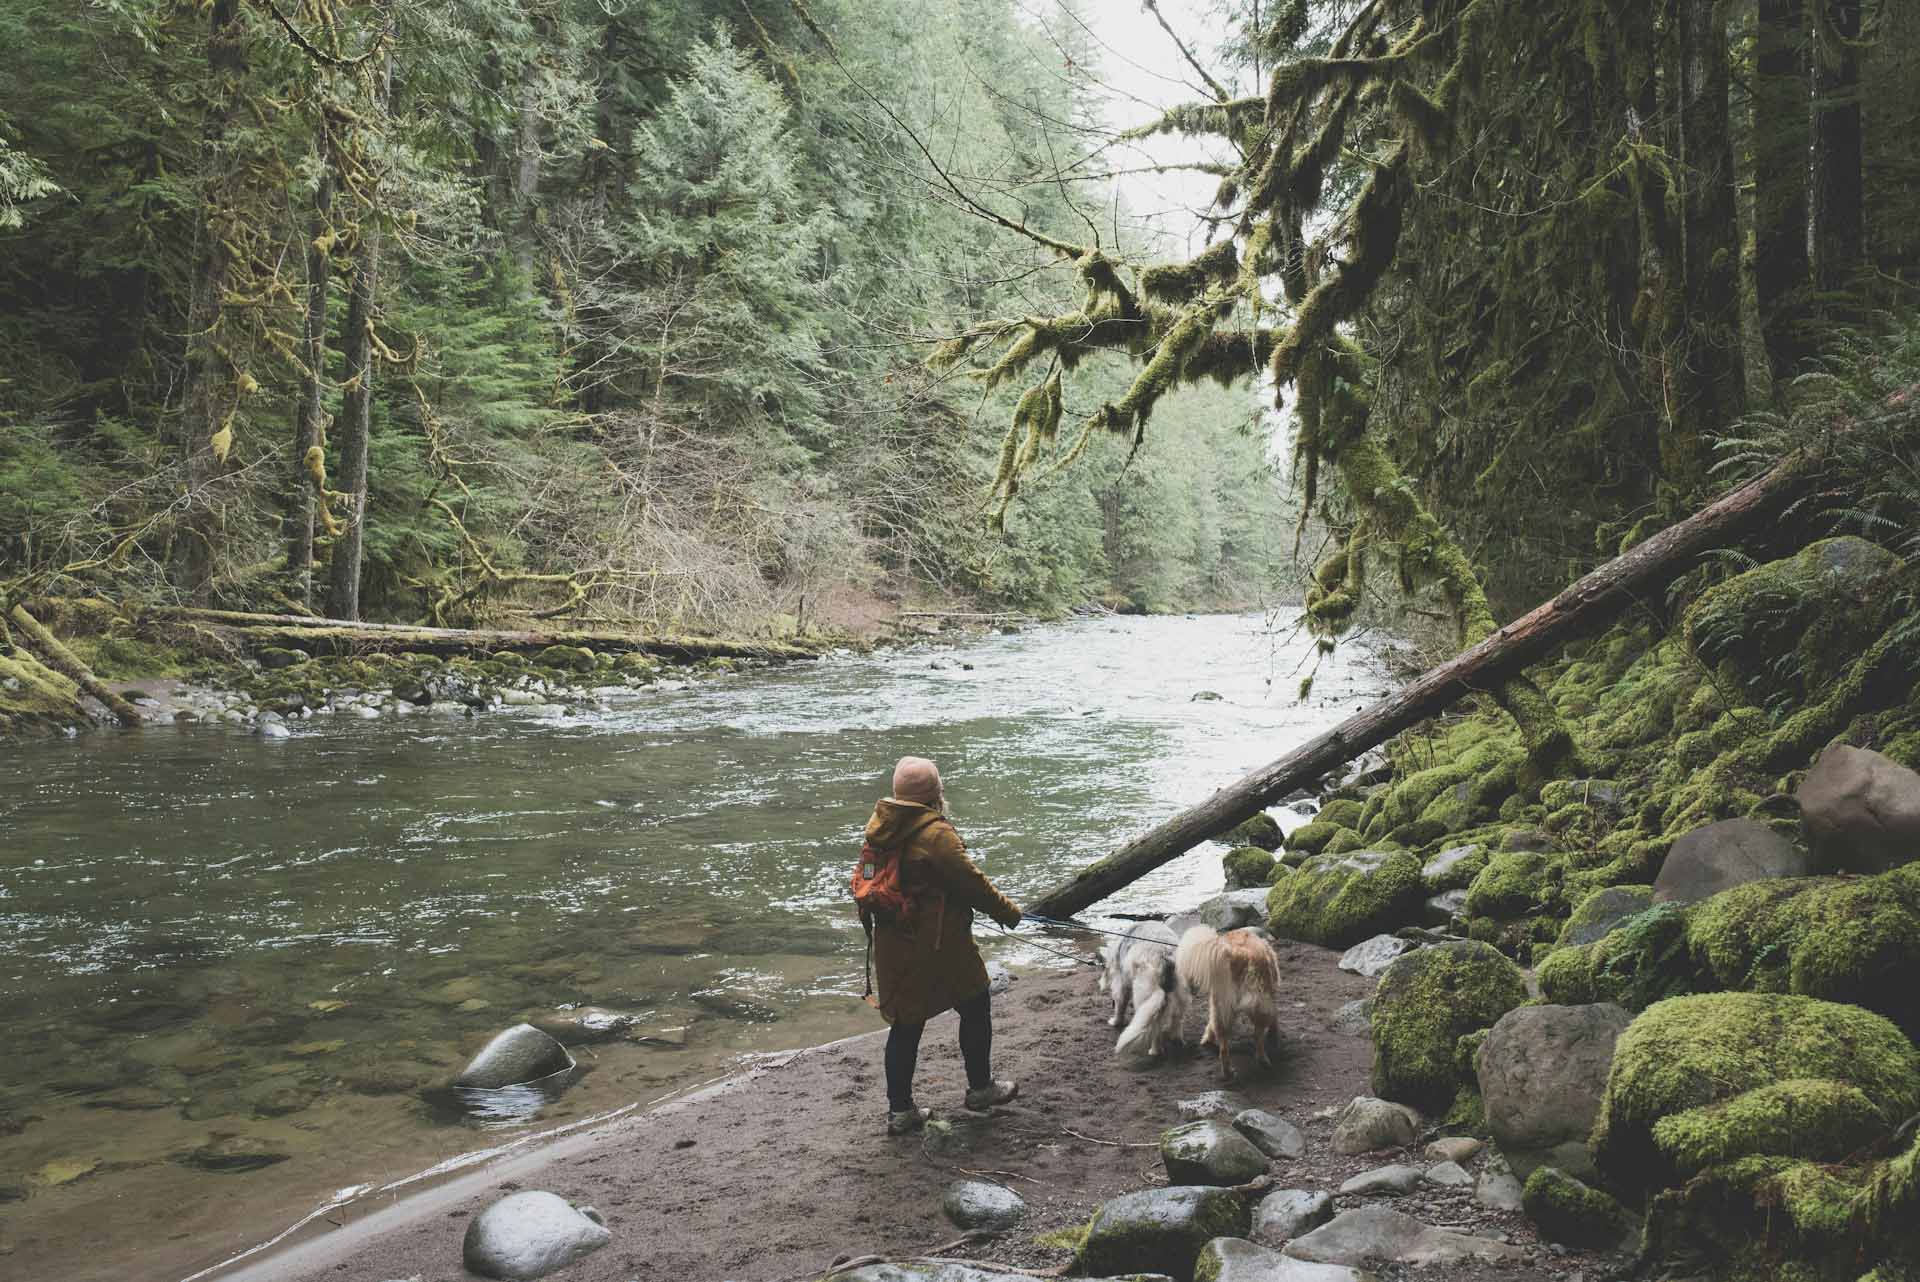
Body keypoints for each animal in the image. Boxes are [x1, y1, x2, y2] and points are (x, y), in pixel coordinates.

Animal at [1105, 921, 1190, 1059]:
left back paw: (1155, 1050)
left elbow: (1120, 1003)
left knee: (1154, 1026)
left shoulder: (1121, 981)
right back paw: (1176, 1039)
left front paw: (1116, 1021)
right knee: (1177, 1018)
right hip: (1180, 993)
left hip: (1145, 995)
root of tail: (1165, 956)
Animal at [1175, 921, 1282, 1082]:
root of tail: (1236, 954)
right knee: (1258, 1037)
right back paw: (1263, 1059)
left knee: (1223, 1047)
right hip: (1259, 1003)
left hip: (1221, 1007)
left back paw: (1227, 1070)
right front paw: (1274, 1031)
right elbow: (1274, 1016)